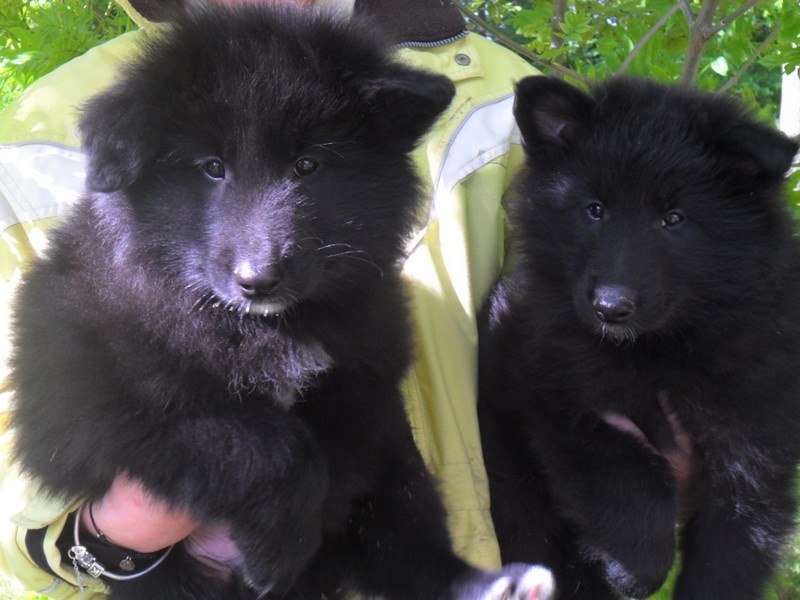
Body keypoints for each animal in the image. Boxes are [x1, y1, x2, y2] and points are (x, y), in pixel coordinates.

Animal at [9, 5, 553, 599]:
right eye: (211, 166)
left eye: (308, 166)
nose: (259, 280)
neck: (257, 324)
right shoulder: (81, 405)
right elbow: (267, 444)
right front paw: (280, 544)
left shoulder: (369, 382)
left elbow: (352, 446)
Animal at [478, 76, 800, 599]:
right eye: (595, 210)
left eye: (675, 218)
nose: (610, 308)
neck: (662, 348)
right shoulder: (555, 396)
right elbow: (634, 482)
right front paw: (634, 570)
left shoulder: (753, 452)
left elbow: (730, 553)